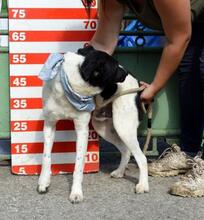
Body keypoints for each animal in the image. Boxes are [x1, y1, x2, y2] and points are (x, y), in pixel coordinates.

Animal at [37, 46, 148, 203]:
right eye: (115, 67)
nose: (126, 72)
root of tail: (137, 82)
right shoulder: (49, 125)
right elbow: (46, 157)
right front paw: (44, 182)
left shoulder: (82, 130)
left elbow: (78, 166)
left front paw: (76, 193)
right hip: (104, 128)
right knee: (126, 151)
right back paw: (120, 172)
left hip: (123, 127)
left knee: (142, 158)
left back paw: (143, 185)